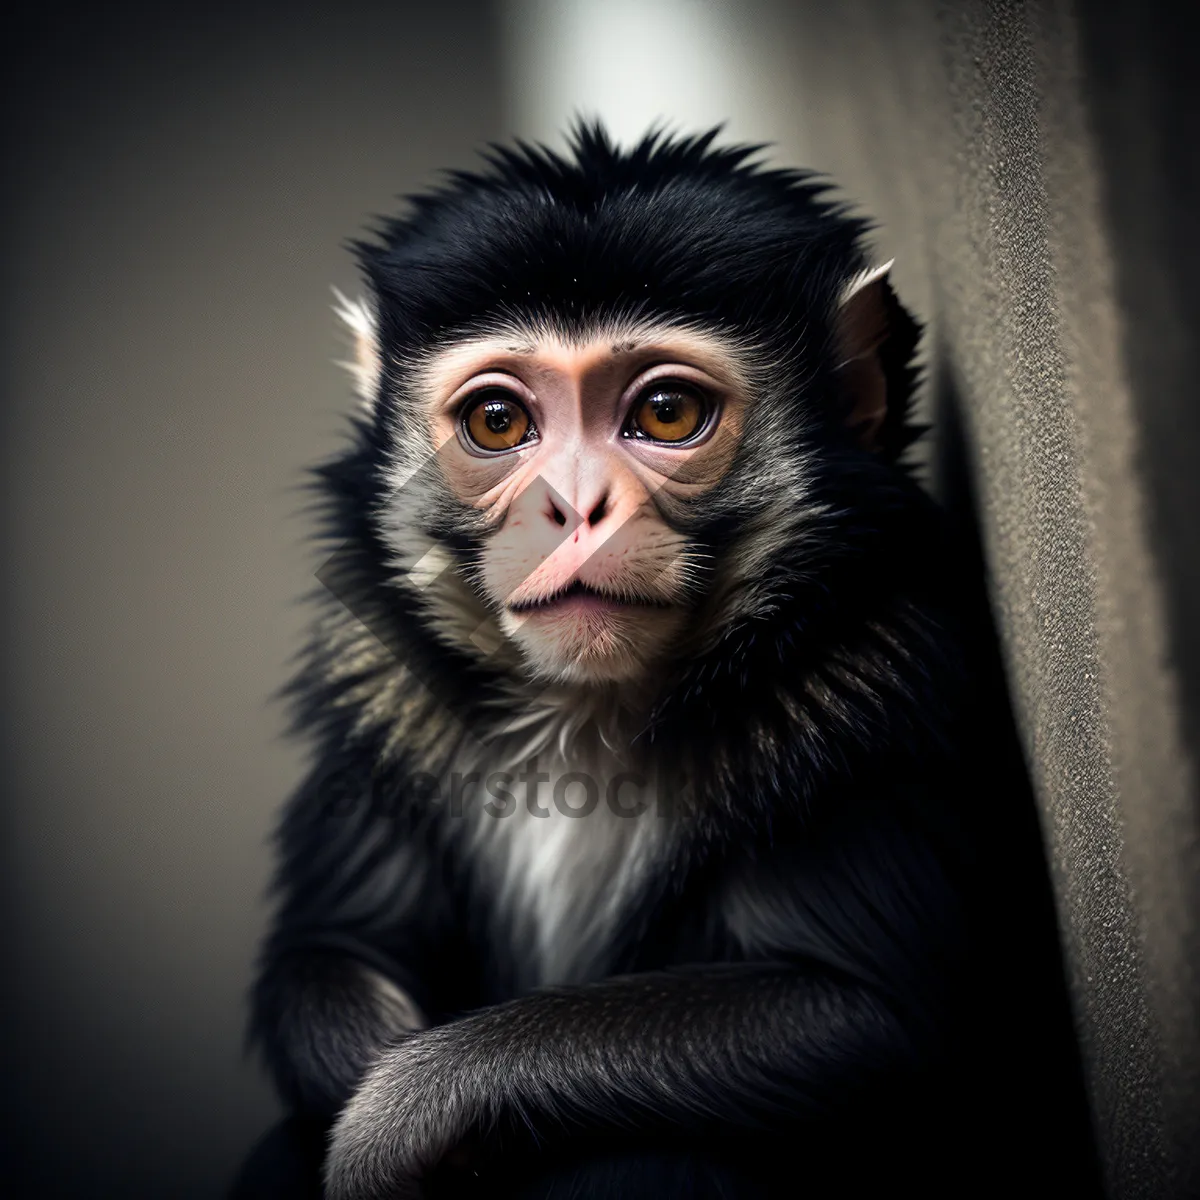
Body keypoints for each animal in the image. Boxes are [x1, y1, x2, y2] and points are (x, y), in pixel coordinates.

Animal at [241, 124, 1099, 1200]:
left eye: (666, 414)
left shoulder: (874, 680)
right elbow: (328, 948)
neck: (587, 712)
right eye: (497, 423)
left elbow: (880, 1026)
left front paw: (401, 1113)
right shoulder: (377, 681)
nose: (574, 507)